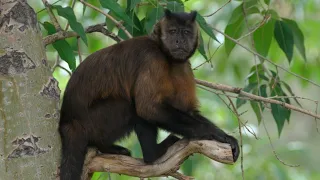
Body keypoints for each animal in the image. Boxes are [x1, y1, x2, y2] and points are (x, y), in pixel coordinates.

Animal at [58, 9, 238, 179]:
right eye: (173, 31)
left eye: (186, 32)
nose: (179, 40)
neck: (166, 56)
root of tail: (67, 121)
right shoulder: (152, 60)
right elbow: (147, 108)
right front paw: (211, 133)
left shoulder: (185, 67)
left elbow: (188, 111)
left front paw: (225, 136)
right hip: (90, 123)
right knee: (129, 105)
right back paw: (150, 154)